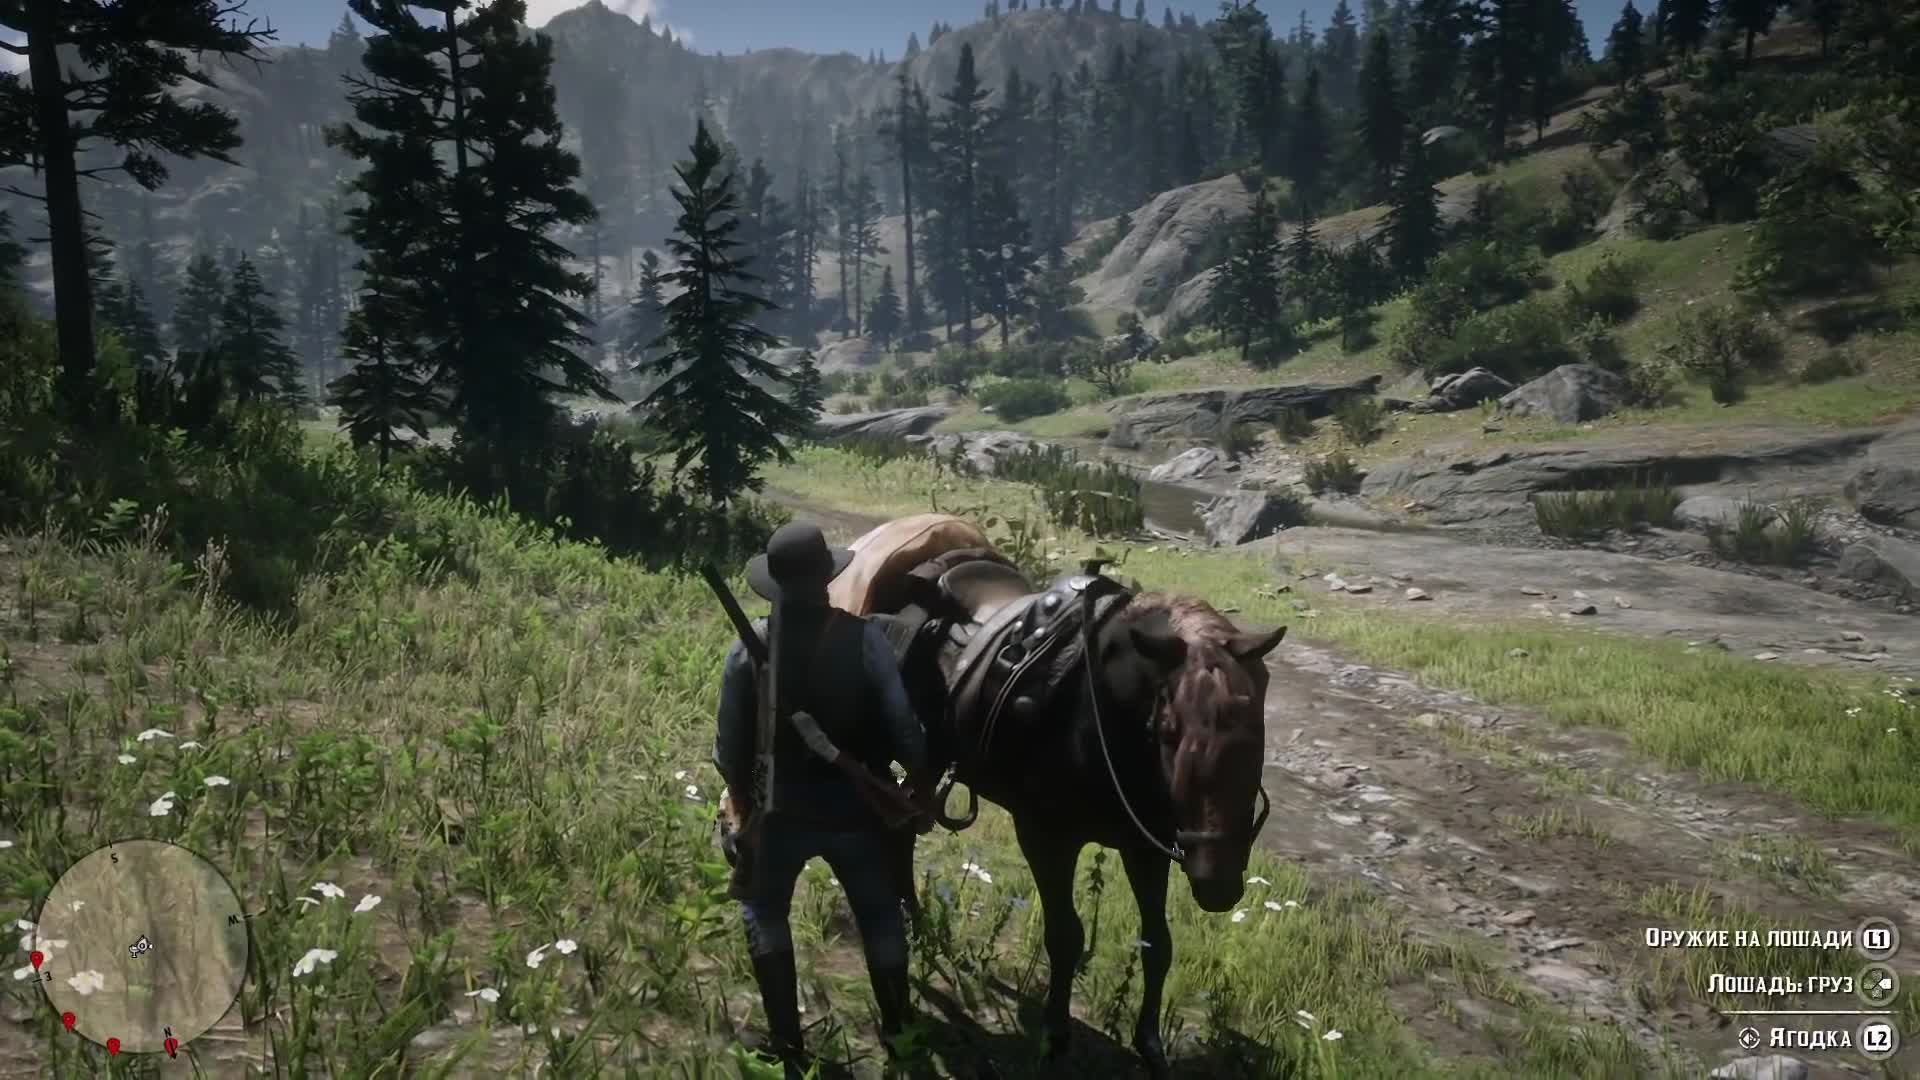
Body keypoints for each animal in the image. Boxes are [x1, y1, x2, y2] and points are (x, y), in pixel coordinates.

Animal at [834, 515, 1285, 1077]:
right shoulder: (1045, 837)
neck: (1097, 718)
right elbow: (1065, 937)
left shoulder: (1146, 848)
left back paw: (918, 922)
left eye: (1257, 733)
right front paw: (1053, 1035)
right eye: (1169, 729)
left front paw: (1150, 1044)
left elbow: (1157, 943)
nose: (1217, 883)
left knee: (905, 831)